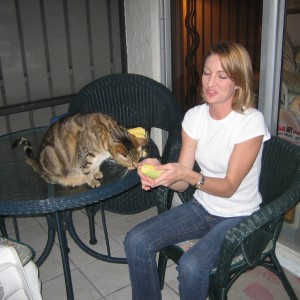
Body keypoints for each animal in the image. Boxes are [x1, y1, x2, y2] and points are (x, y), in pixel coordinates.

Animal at [12, 112, 149, 188]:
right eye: (131, 162)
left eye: (138, 159)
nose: (135, 167)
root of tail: (39, 165)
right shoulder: (86, 157)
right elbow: (87, 171)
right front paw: (92, 181)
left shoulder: (98, 159)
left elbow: (96, 166)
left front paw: (97, 173)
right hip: (49, 155)